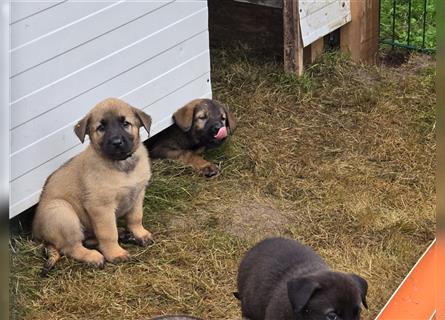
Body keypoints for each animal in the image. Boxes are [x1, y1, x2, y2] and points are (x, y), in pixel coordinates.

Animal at [31, 97, 153, 272]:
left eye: (125, 123)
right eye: (101, 128)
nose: (117, 142)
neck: (121, 166)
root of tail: (37, 233)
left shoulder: (137, 194)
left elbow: (136, 218)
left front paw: (139, 234)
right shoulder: (101, 207)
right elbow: (108, 233)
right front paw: (115, 253)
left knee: (87, 239)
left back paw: (124, 234)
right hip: (62, 212)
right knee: (71, 247)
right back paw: (93, 256)